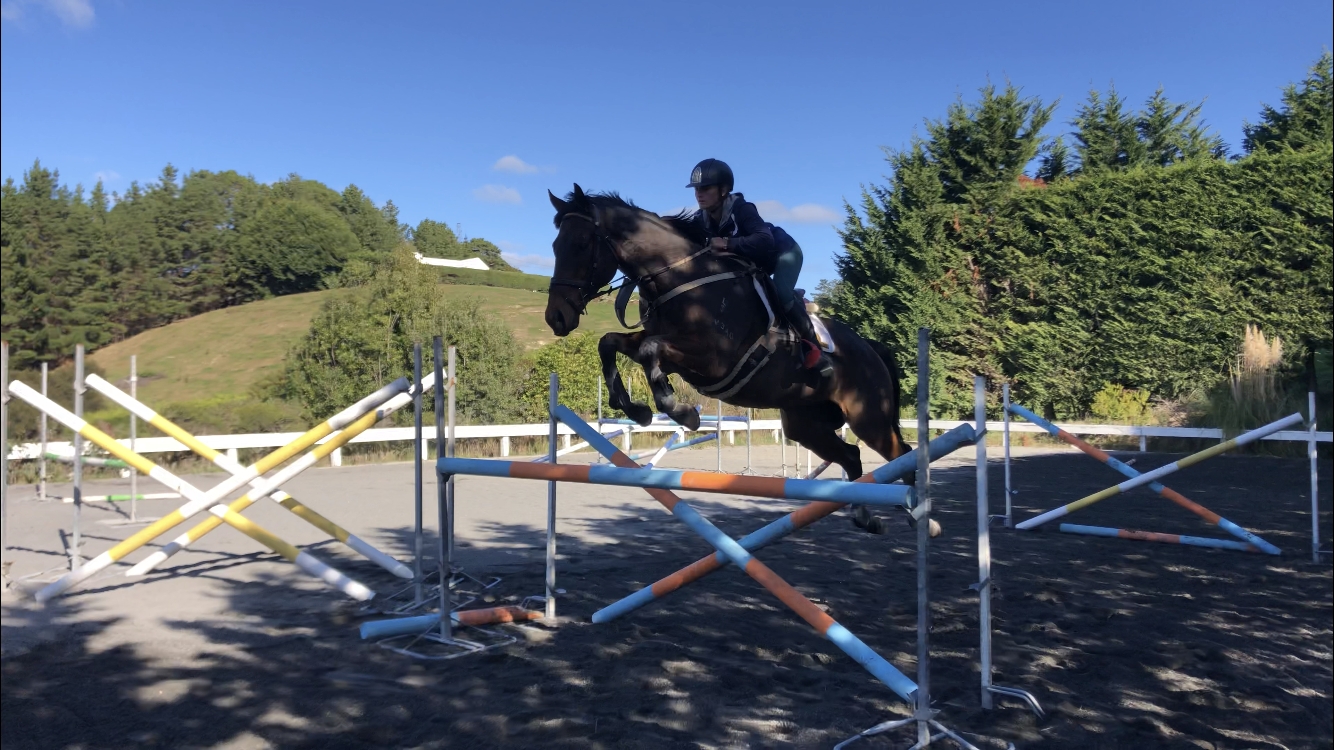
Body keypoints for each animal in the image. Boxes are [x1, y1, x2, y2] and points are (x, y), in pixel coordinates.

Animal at [544, 185, 930, 536]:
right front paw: (635, 408)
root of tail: (871, 348)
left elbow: (650, 350)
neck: (681, 278)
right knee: (852, 456)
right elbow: (612, 343)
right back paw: (865, 515)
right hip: (806, 424)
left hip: (868, 417)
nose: (556, 318)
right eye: (554, 247)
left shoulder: (714, 358)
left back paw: (921, 518)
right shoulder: (677, 352)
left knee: (902, 453)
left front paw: (680, 411)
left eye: (581, 245)